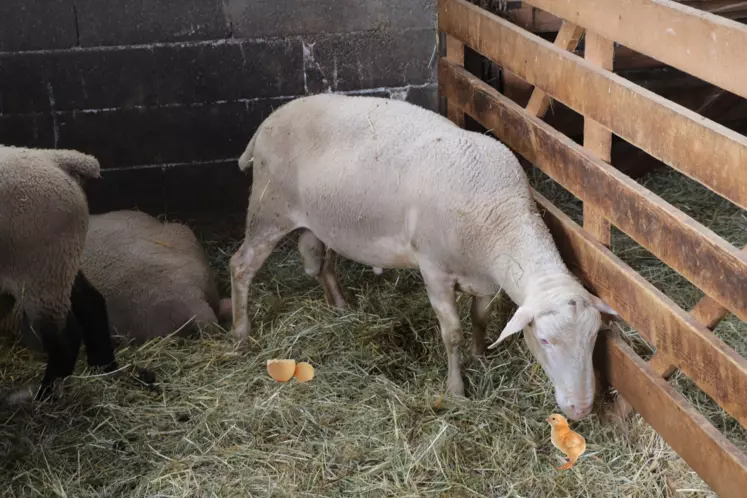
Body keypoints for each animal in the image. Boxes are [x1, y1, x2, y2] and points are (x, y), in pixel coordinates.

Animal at [0, 145, 120, 400]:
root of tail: (56, 159)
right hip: (59, 261)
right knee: (91, 302)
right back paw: (104, 367)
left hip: (39, 269)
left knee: (65, 338)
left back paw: (45, 394)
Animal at [231, 93, 616, 420]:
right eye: (545, 340)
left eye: (594, 337)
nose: (582, 409)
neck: (499, 218)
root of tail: (268, 120)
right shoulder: (435, 271)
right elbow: (453, 333)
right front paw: (457, 389)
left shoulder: (486, 280)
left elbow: (480, 318)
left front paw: (481, 355)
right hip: (268, 209)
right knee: (241, 266)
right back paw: (240, 334)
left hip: (324, 219)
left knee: (321, 261)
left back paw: (339, 307)